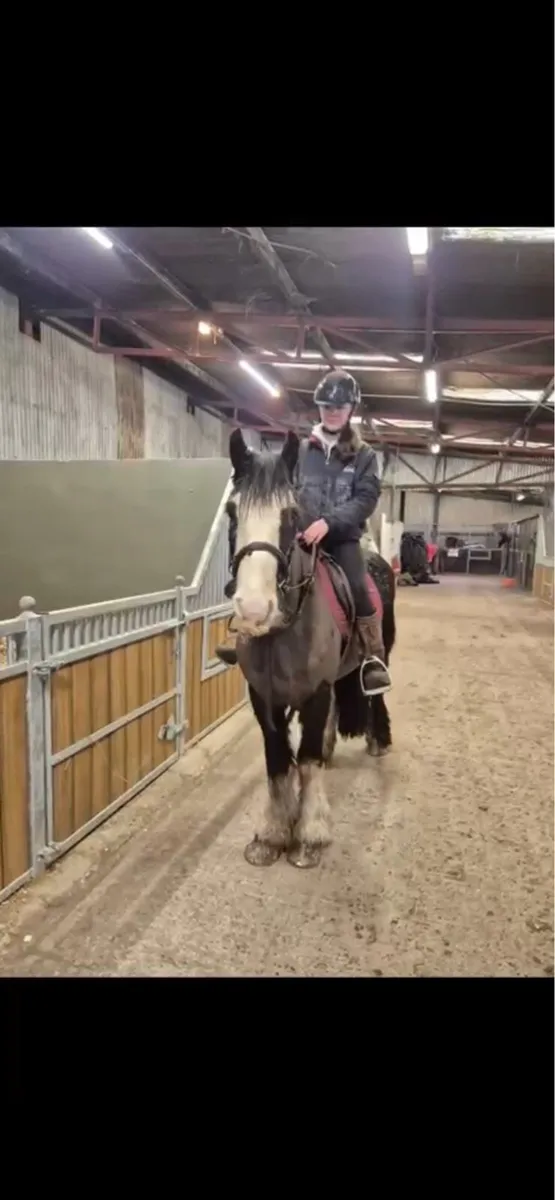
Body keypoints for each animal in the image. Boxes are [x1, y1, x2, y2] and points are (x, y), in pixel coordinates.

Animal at [227, 428, 396, 870]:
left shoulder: (315, 693)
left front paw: (309, 835)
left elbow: (306, 760)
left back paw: (378, 740)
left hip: (383, 652)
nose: (254, 611)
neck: (283, 631)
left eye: (290, 515)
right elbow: (277, 759)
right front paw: (271, 834)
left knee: (377, 692)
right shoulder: (264, 697)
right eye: (232, 511)